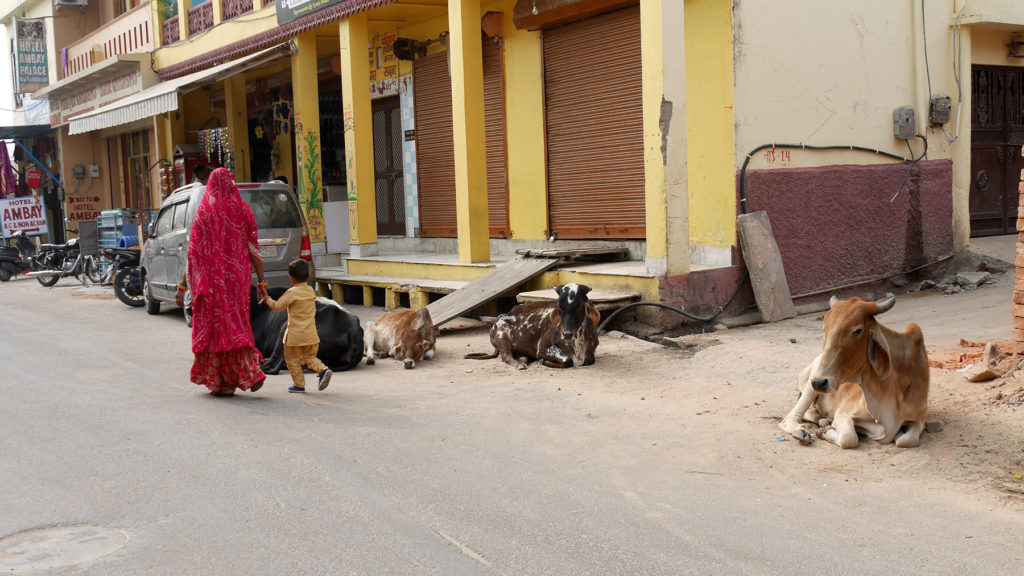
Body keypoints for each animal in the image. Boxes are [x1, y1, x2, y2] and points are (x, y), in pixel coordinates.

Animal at [466, 280, 598, 366]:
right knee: (506, 357)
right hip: (502, 337)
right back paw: (520, 364)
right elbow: (567, 361)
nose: (566, 334)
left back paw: (525, 358)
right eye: (559, 306)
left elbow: (589, 360)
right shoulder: (543, 348)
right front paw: (543, 361)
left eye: (579, 305)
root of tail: (500, 317)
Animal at [778, 291, 933, 448]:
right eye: (824, 329)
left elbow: (906, 440)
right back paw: (802, 432)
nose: (819, 382)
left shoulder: (920, 418)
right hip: (810, 386)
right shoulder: (843, 413)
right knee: (789, 419)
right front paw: (824, 432)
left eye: (858, 330)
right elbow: (849, 439)